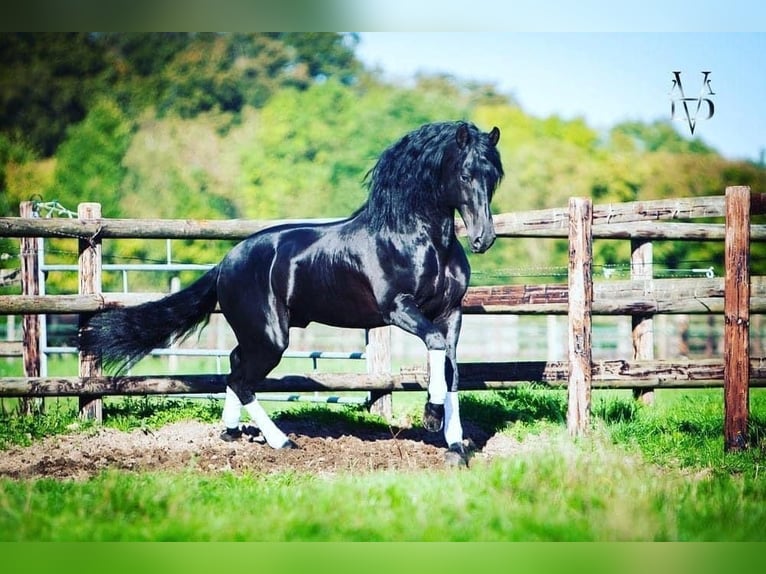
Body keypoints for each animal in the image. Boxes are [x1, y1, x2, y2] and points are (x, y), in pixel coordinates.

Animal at [79, 121, 504, 468]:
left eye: (494, 177)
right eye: (466, 173)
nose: (483, 239)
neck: (416, 238)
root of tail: (227, 262)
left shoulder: (451, 312)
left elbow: (452, 370)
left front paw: (455, 447)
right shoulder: (399, 309)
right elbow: (435, 348)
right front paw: (431, 416)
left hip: (257, 334)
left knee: (234, 368)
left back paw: (230, 432)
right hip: (270, 337)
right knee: (242, 380)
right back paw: (282, 443)